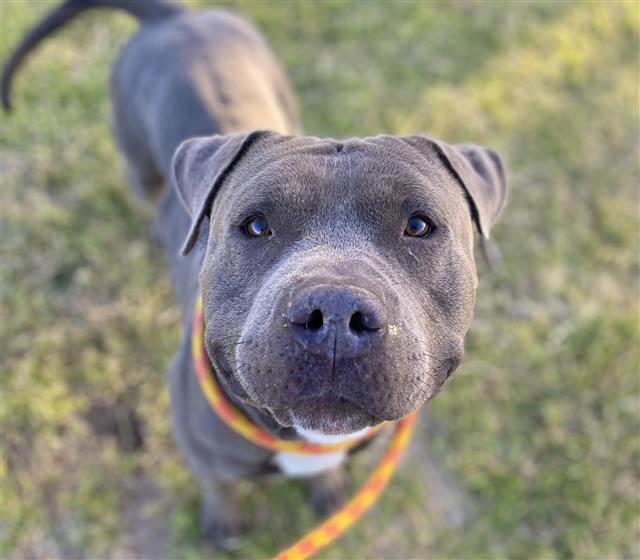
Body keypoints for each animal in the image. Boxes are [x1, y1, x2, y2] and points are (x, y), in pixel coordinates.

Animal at [2, 0, 508, 552]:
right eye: (256, 225)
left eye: (418, 225)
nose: (335, 312)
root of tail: (174, 18)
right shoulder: (206, 458)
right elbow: (221, 487)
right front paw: (224, 526)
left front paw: (326, 487)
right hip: (136, 157)